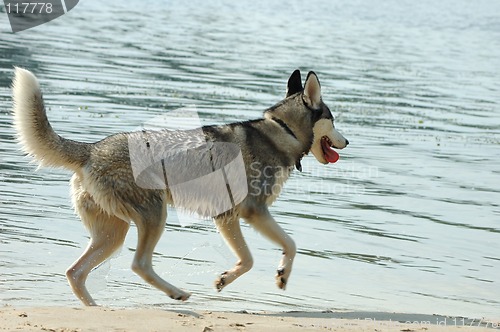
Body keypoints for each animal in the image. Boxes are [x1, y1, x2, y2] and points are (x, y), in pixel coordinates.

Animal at [10, 68, 348, 306]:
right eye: (333, 120)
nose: (347, 142)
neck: (282, 130)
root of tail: (91, 150)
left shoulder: (228, 217)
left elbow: (263, 254)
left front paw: (238, 277)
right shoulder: (251, 212)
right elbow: (282, 247)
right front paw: (268, 275)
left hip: (112, 234)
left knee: (76, 272)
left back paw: (96, 309)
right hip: (154, 216)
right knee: (139, 264)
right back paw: (176, 293)